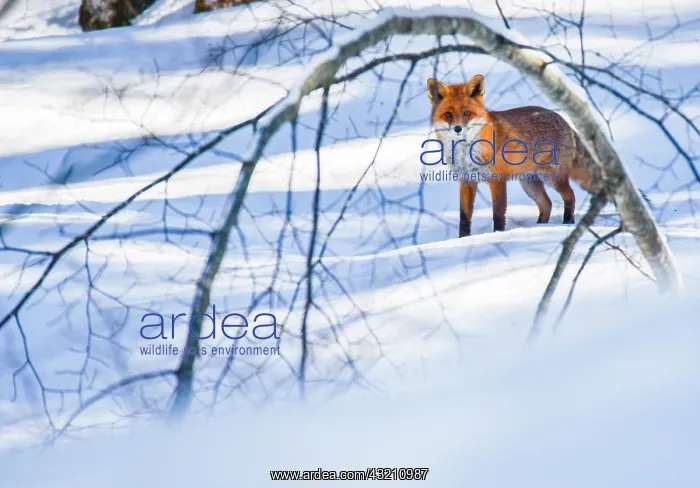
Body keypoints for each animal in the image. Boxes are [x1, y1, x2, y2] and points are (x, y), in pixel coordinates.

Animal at [427, 74, 601, 237]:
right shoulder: (466, 181)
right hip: (529, 184)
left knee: (570, 195)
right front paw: (462, 239)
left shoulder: (497, 179)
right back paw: (538, 227)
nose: (457, 128)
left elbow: (498, 213)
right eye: (448, 114)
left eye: (467, 113)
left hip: (552, 178)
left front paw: (497, 234)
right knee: (547, 204)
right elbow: (464, 217)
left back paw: (567, 222)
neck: (466, 151)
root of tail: (565, 121)